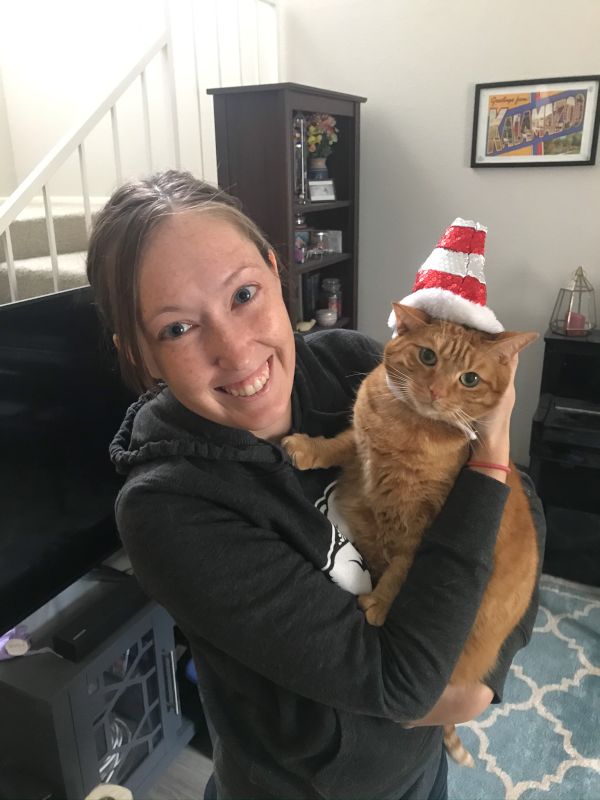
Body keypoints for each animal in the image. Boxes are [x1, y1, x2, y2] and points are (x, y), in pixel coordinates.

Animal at [284, 304, 540, 764]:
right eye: (427, 357)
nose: (436, 392)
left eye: (469, 379)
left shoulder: (425, 525)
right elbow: (339, 443)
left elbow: (403, 569)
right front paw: (309, 449)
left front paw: (380, 603)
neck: (406, 427)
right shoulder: (358, 441)